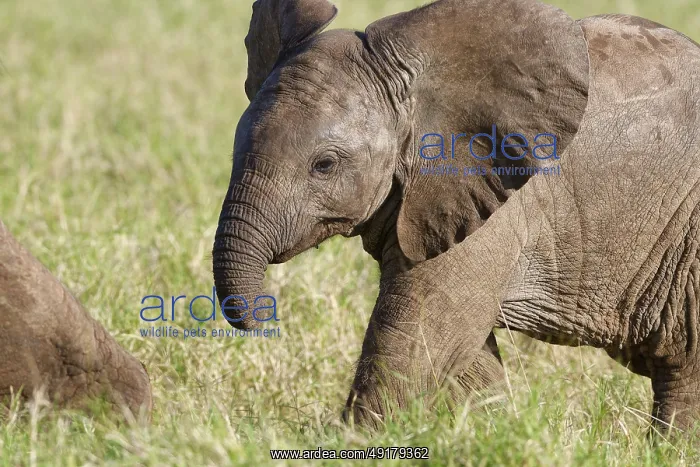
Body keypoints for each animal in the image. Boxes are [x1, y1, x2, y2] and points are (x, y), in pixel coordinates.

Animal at [212, 0, 700, 431]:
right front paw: (497, 434)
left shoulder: (504, 199)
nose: (265, 319)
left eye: (324, 165)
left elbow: (419, 340)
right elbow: (461, 355)